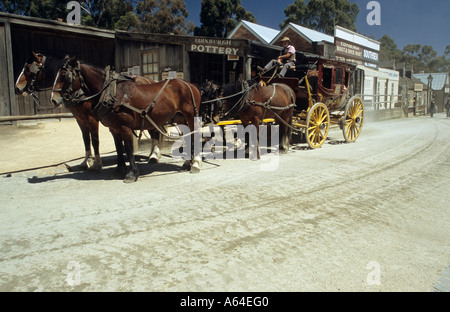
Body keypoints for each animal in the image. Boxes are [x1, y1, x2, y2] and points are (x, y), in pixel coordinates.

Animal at [50, 57, 201, 182]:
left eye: (64, 75)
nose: (53, 99)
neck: (112, 94)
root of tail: (191, 85)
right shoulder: (114, 128)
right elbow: (118, 147)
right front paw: (119, 169)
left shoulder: (124, 126)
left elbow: (128, 148)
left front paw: (132, 173)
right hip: (180, 118)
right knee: (188, 137)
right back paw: (187, 163)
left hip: (191, 116)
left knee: (196, 136)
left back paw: (196, 163)